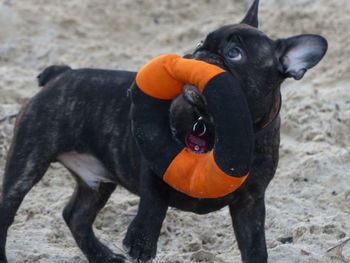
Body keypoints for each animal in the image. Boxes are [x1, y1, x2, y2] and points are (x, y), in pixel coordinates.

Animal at [0, 1, 328, 262]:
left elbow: (255, 244)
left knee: (76, 216)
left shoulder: (250, 200)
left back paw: (103, 256)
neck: (213, 124)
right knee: (9, 209)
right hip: (29, 159)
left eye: (234, 53)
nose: (199, 53)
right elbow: (154, 202)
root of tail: (61, 74)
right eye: (201, 41)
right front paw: (141, 242)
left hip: (99, 179)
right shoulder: (155, 164)